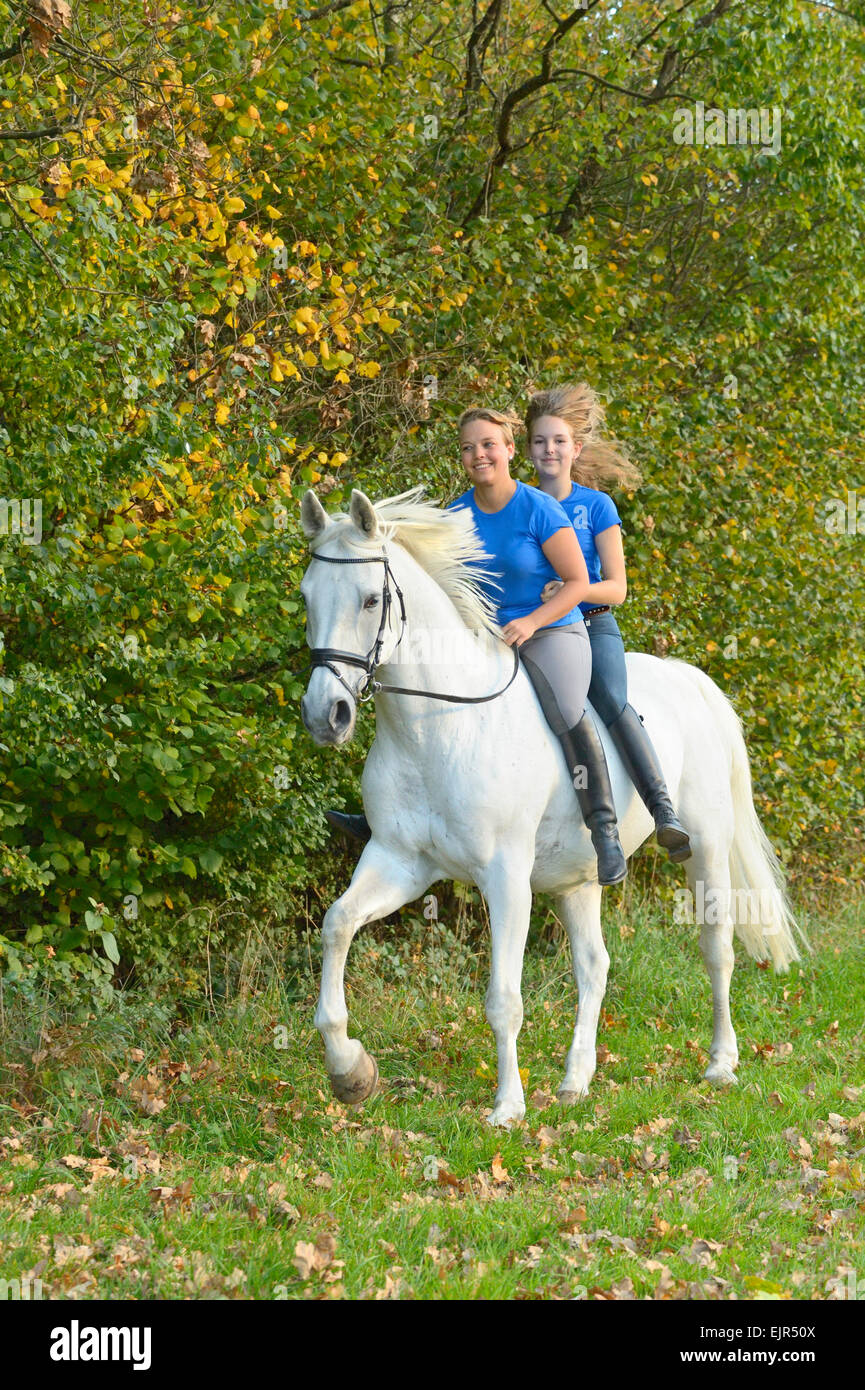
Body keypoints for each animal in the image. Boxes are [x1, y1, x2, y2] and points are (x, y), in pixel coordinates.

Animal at [299, 486, 804, 1127]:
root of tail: (689, 679)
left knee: (717, 949)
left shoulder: (505, 876)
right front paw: (350, 1072)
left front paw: (507, 1108)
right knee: (594, 965)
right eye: (306, 597)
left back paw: (720, 1064)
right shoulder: (399, 862)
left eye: (369, 599)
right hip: (577, 879)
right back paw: (575, 1080)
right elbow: (338, 924)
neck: (439, 725)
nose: (327, 715)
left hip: (707, 849)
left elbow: (503, 999)